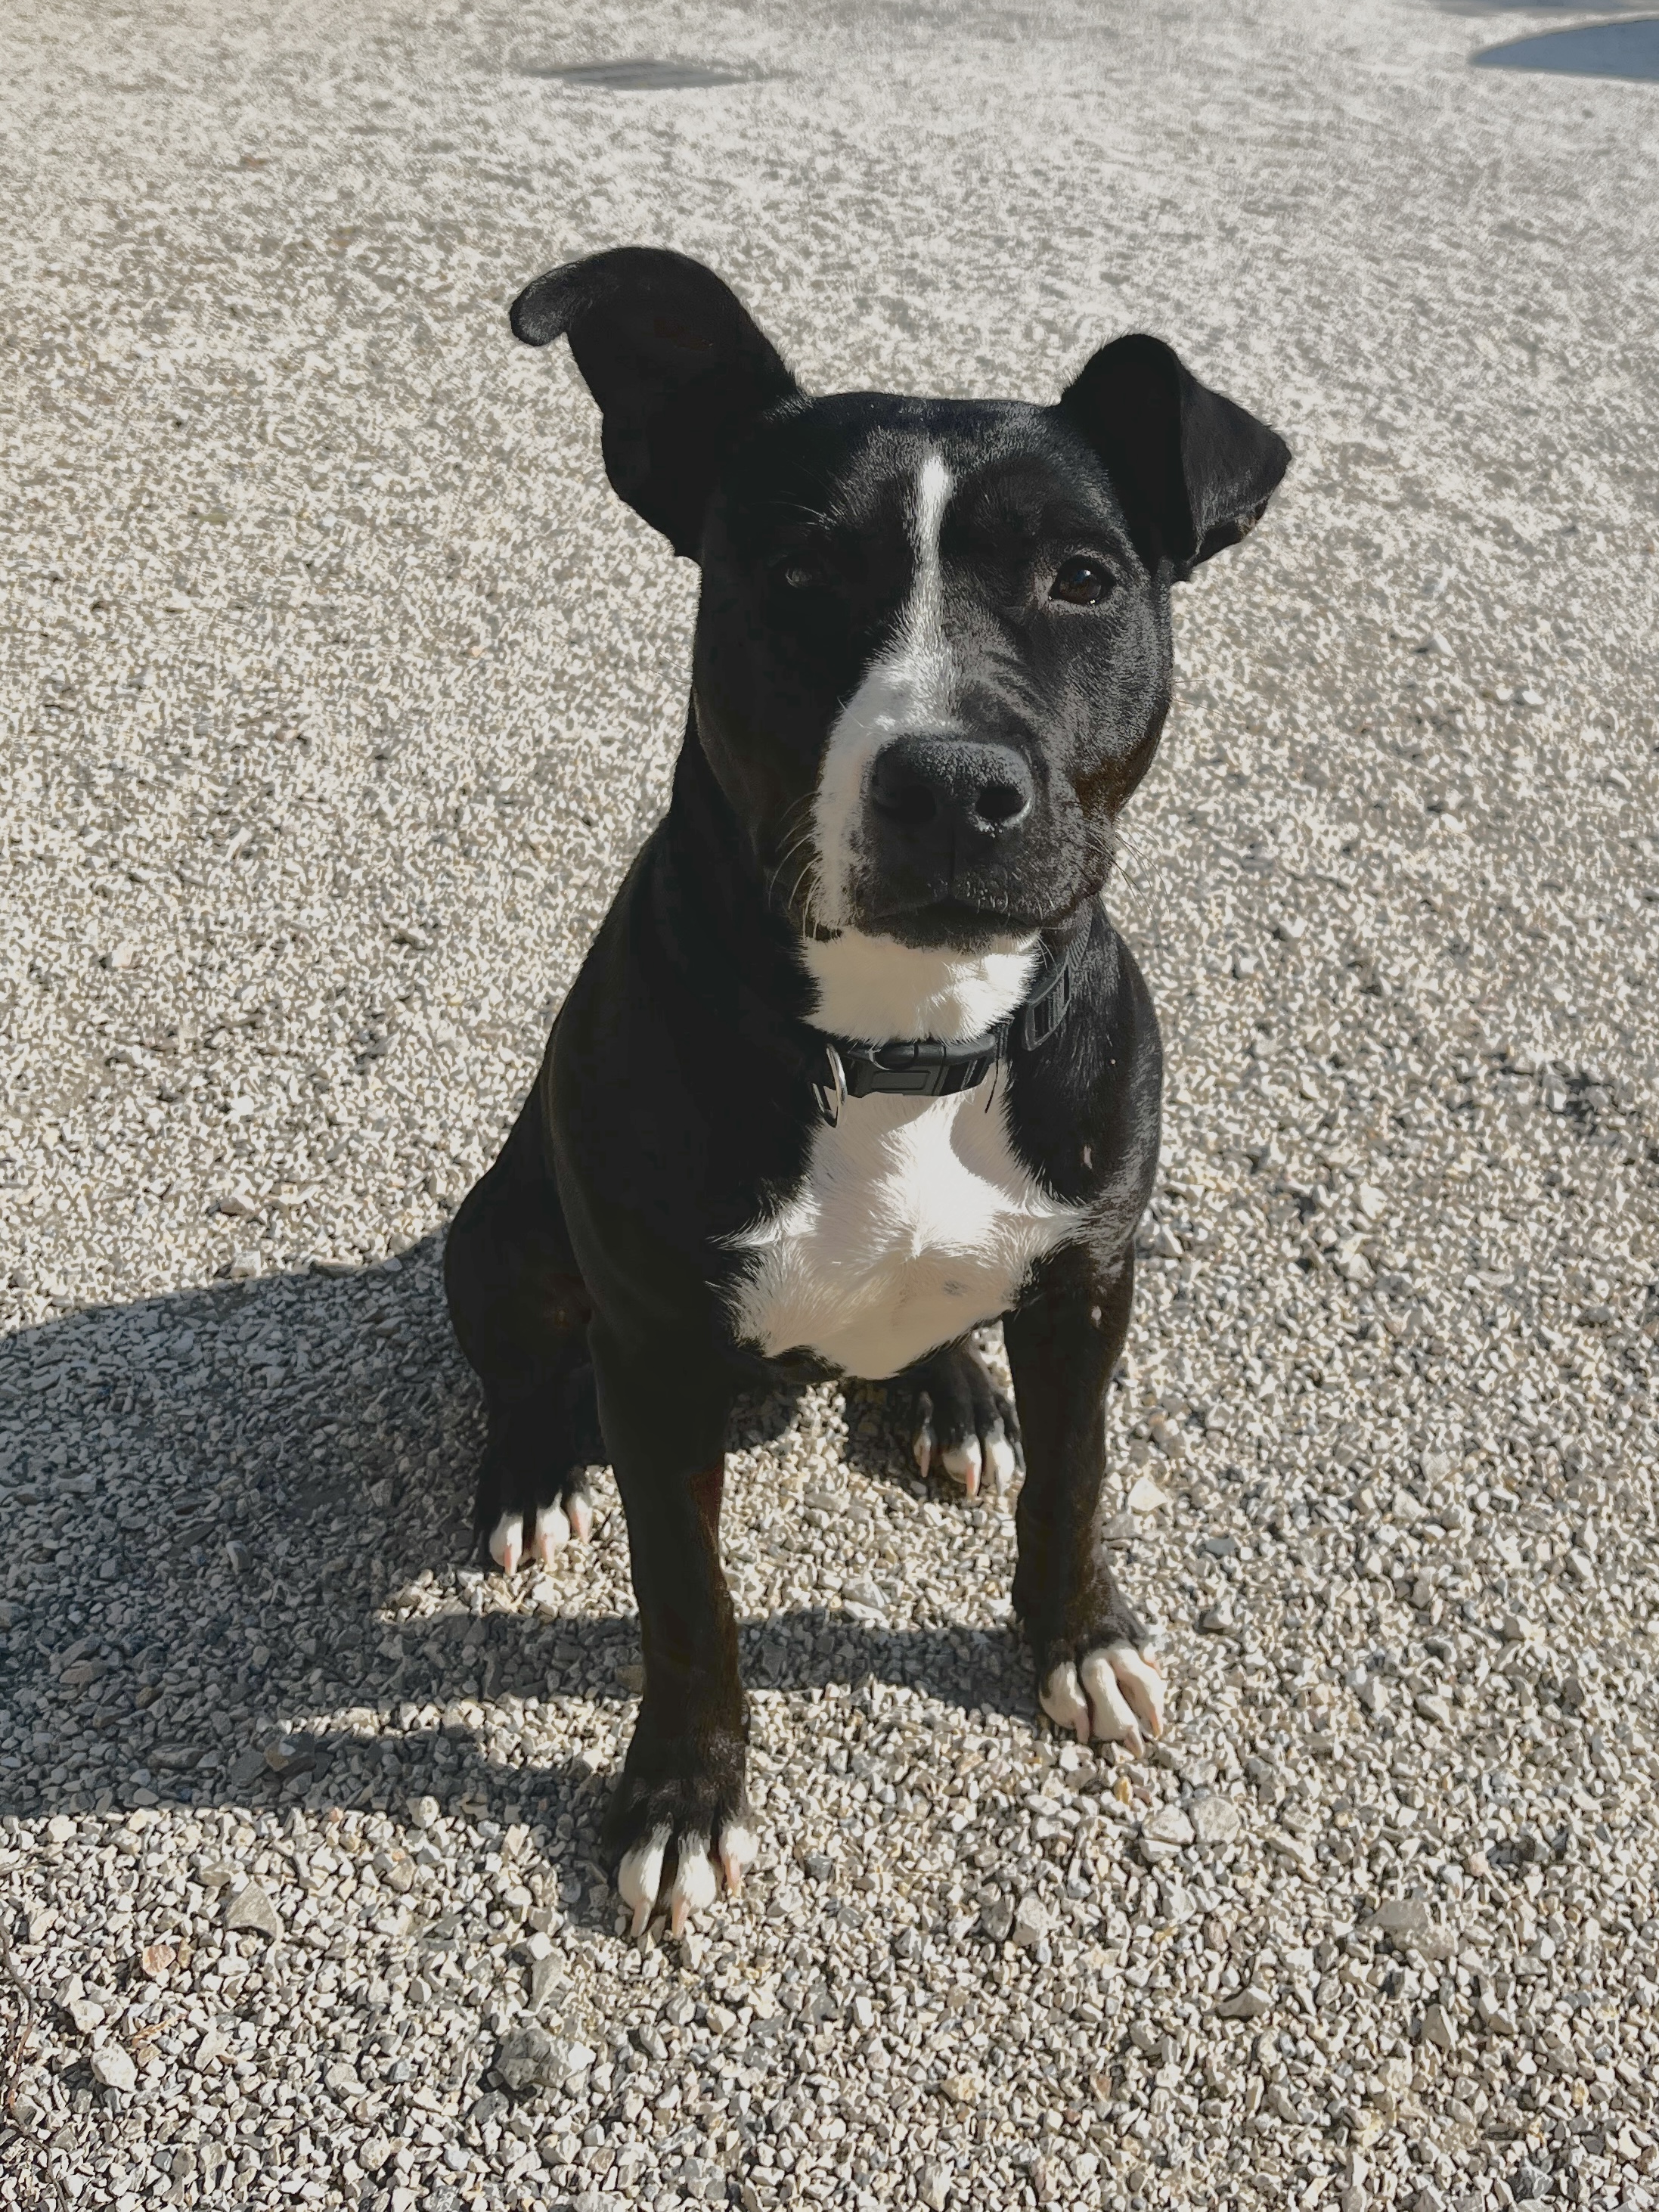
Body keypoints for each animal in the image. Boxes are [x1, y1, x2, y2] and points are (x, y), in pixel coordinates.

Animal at [444, 247, 1289, 1937]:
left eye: (1082, 579)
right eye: (795, 576)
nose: (950, 784)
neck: (906, 1042)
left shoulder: (1088, 1281)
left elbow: (1072, 1484)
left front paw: (1075, 1638)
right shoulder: (653, 1349)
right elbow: (686, 1601)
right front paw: (680, 1797)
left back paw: (947, 1392)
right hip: (502, 1236)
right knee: (520, 1365)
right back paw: (532, 1475)